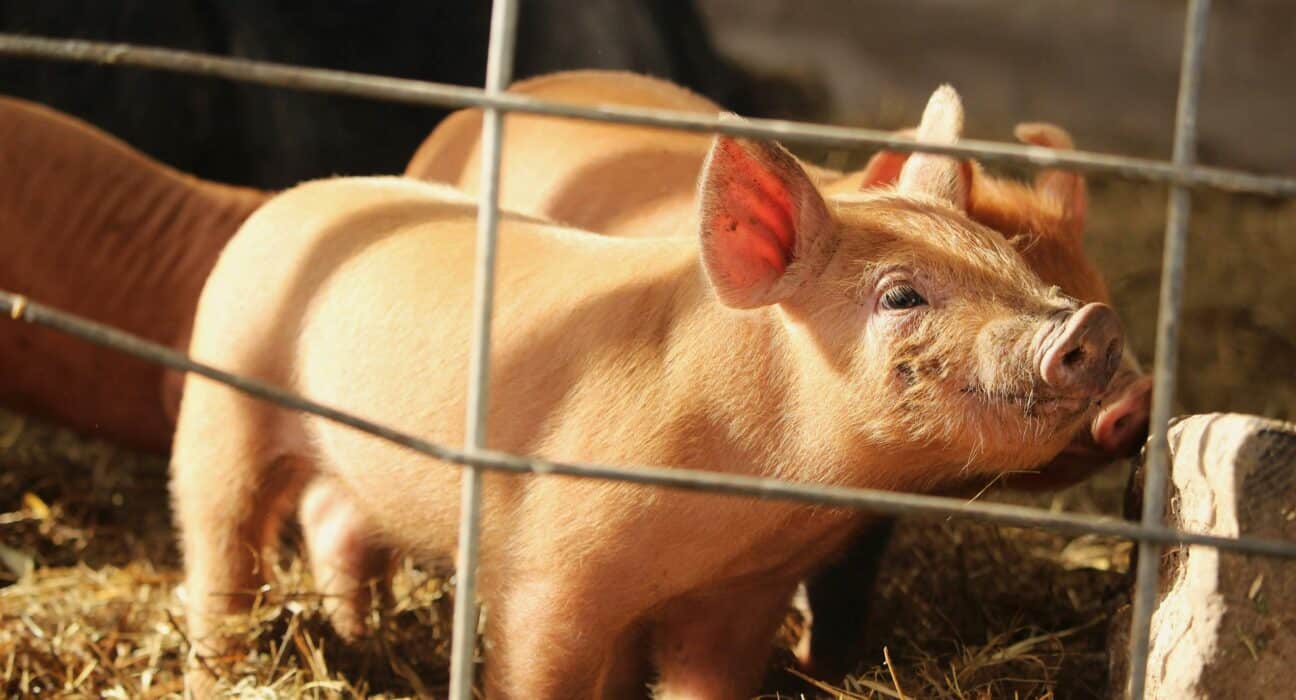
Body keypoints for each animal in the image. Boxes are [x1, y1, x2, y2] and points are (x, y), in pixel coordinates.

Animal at [172, 86, 1126, 699]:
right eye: (900, 297)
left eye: (1011, 264)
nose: (1092, 324)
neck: (749, 500)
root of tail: (294, 201)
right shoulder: (550, 571)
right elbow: (539, 667)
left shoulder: (746, 597)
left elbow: (710, 680)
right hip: (222, 399)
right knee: (221, 544)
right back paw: (222, 670)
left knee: (331, 515)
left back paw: (357, 639)